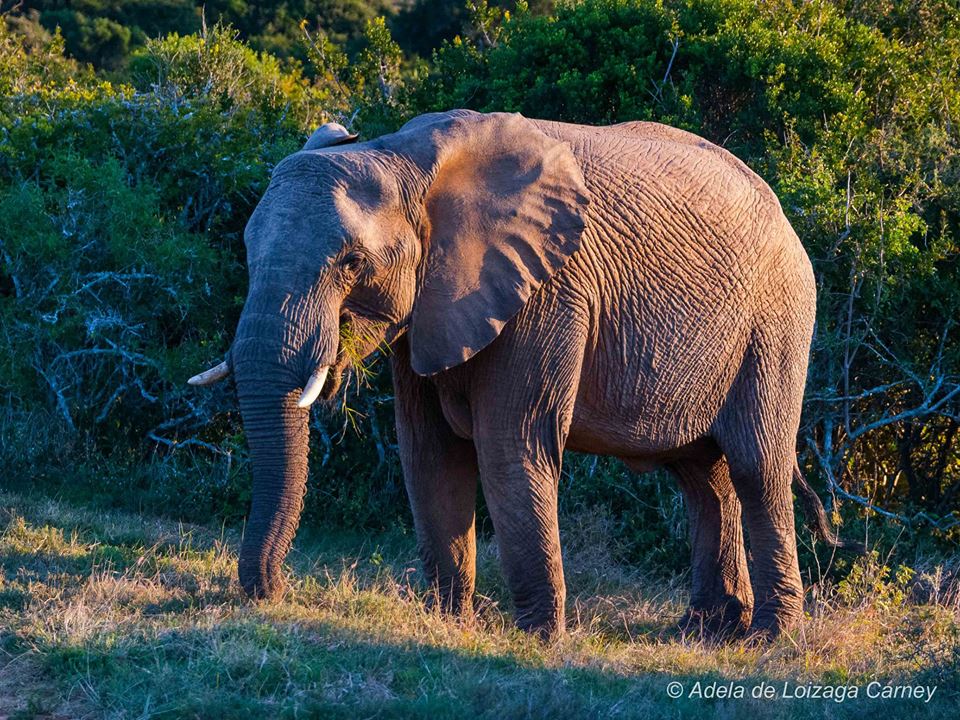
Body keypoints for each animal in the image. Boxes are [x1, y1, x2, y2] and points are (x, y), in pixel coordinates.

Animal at [189, 109, 856, 640]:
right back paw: (706, 631)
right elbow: (429, 453)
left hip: (778, 320)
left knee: (755, 466)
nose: (270, 592)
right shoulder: (429, 310)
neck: (403, 156)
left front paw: (537, 638)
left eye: (352, 262)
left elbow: (511, 444)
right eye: (246, 249)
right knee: (701, 475)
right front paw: (449, 625)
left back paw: (767, 639)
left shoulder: (548, 291)